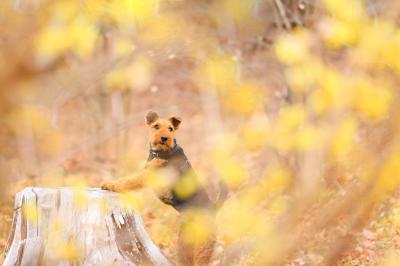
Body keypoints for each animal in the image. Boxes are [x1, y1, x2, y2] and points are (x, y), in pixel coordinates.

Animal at [100, 110, 219, 266]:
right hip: (184, 243)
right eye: (156, 126)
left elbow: (130, 180)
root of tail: (213, 209)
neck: (160, 152)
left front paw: (111, 185)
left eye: (171, 128)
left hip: (202, 246)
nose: (164, 138)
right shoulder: (146, 170)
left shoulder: (148, 174)